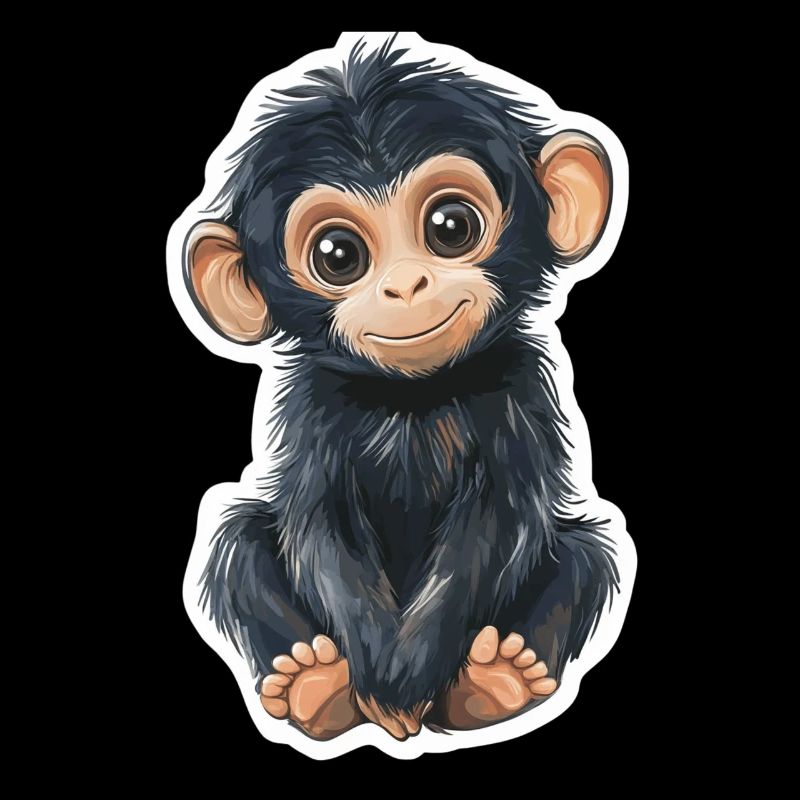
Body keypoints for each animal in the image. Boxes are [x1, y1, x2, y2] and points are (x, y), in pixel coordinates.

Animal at [178, 36, 626, 743]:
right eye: (338, 255)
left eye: (451, 226)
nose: (405, 285)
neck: (410, 399)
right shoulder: (312, 412)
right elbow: (319, 525)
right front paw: (379, 677)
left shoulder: (518, 393)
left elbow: (496, 524)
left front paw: (407, 673)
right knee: (240, 541)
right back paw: (315, 684)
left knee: (585, 556)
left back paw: (495, 683)